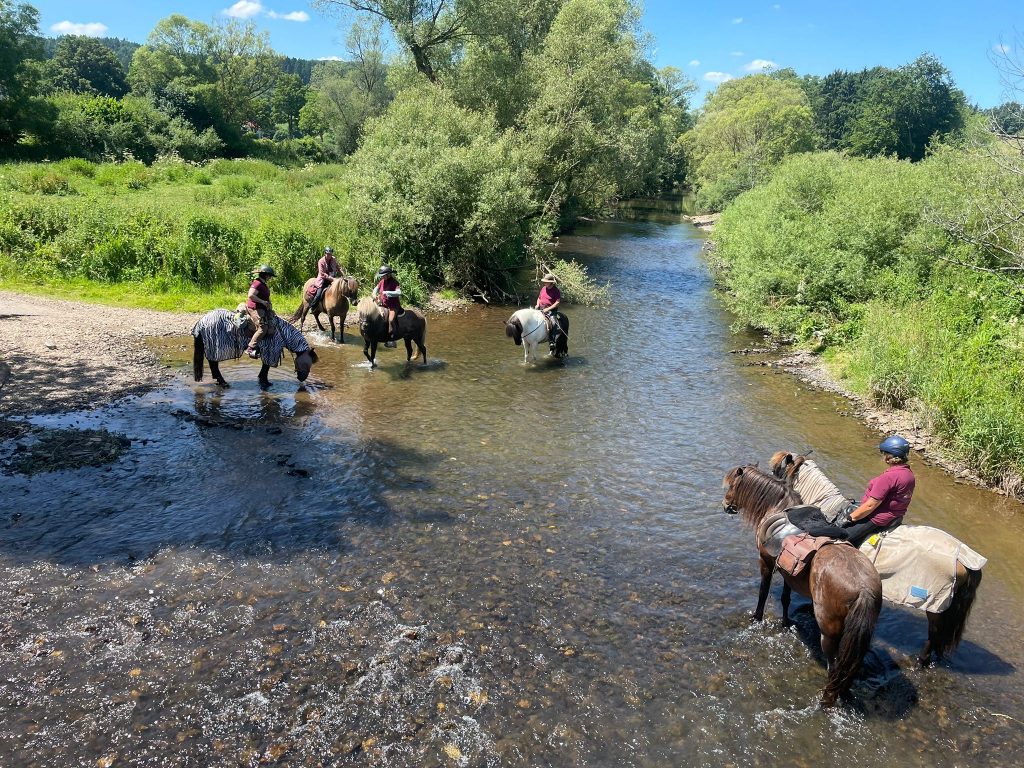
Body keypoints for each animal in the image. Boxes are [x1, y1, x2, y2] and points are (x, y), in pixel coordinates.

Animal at [722, 464, 882, 707]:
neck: (777, 507)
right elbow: (785, 598)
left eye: (732, 484)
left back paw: (825, 703)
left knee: (834, 668)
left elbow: (763, 593)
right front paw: (786, 622)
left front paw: (756, 618)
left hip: (829, 634)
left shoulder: (765, 562)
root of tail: (864, 590)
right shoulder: (789, 573)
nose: (725, 505)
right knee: (848, 670)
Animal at [769, 451, 986, 667]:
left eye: (778, 468)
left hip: (934, 605)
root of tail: (964, 558)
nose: (773, 481)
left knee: (933, 634)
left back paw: (920, 661)